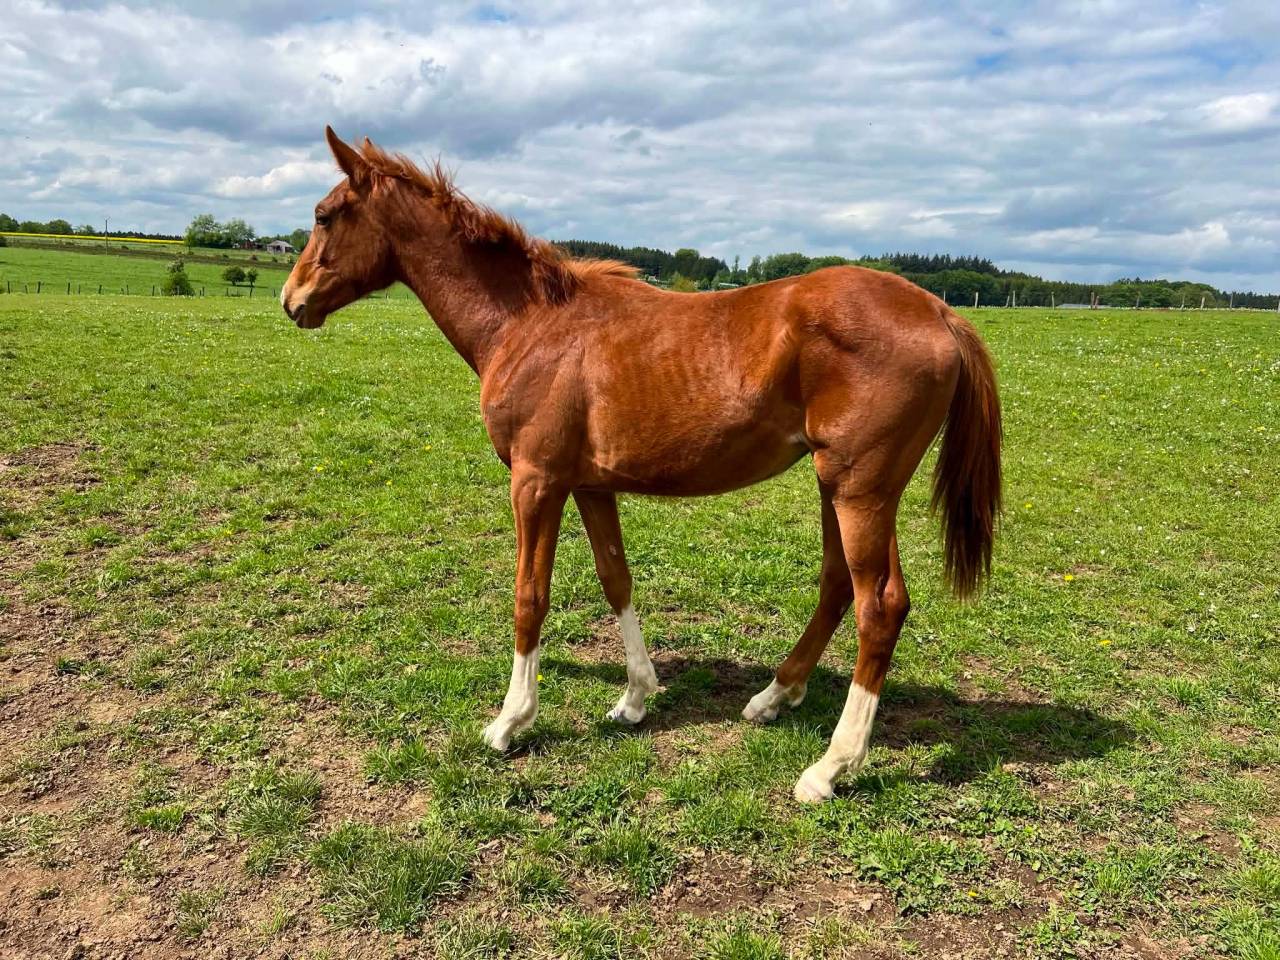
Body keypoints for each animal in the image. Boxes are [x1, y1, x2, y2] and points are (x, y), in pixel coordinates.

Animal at [281, 127, 1002, 803]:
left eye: (323, 214)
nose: (292, 301)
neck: (530, 325)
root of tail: (940, 311)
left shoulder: (535, 481)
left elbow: (529, 596)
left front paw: (511, 721)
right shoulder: (590, 486)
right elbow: (616, 579)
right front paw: (634, 698)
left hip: (860, 489)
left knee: (879, 605)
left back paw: (832, 766)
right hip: (840, 486)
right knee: (837, 586)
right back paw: (774, 697)